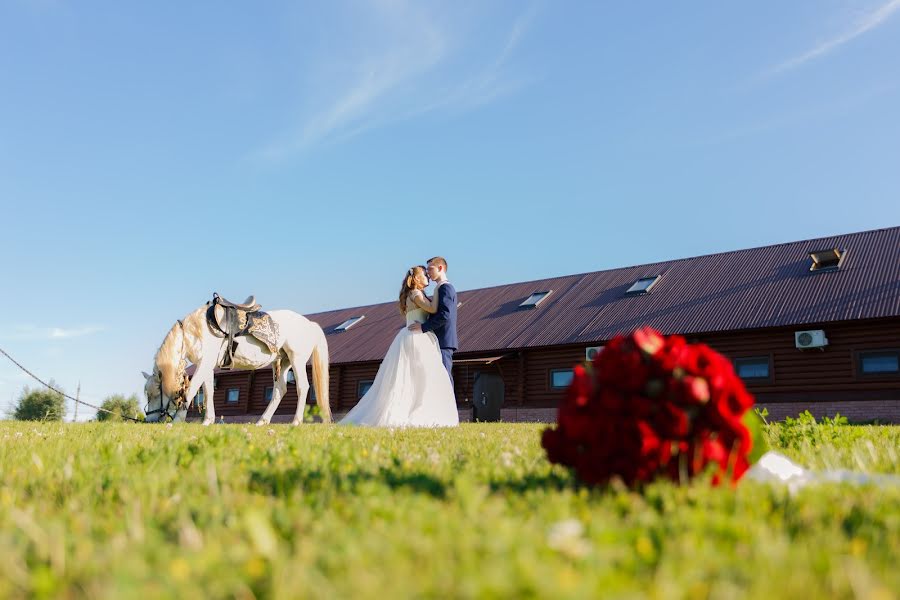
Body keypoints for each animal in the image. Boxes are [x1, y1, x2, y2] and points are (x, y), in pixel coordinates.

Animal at [142, 304, 332, 426]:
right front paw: (208, 421)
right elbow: (209, 391)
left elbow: (194, 388)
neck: (196, 330)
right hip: (282, 362)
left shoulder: (204, 364)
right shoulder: (208, 365)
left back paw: (296, 421)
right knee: (280, 390)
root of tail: (310, 324)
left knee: (303, 387)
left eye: (155, 393)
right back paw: (262, 421)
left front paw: (177, 419)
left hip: (296, 359)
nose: (149, 420)